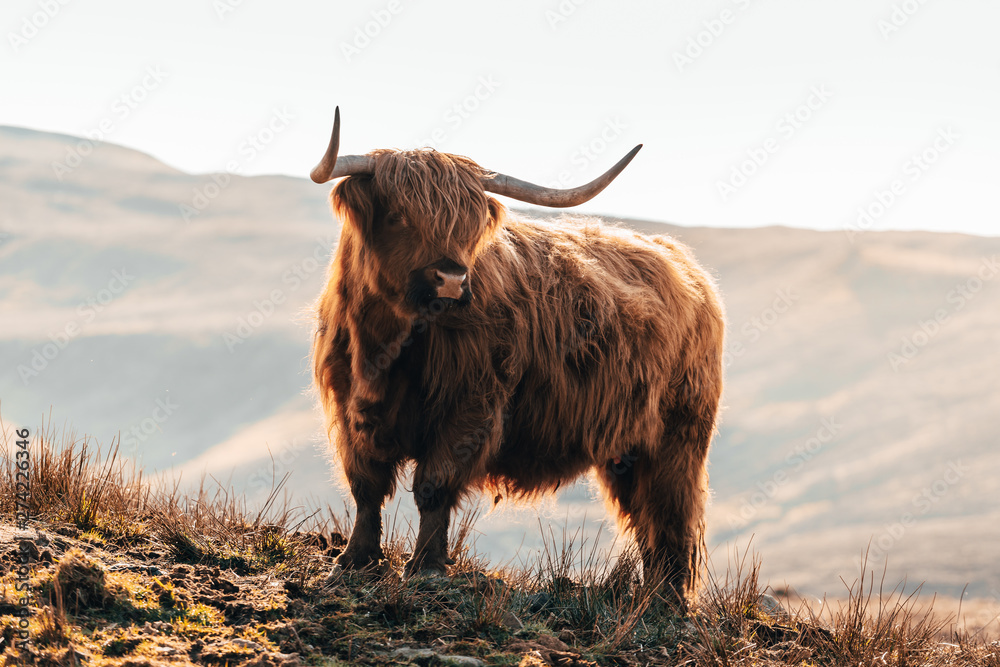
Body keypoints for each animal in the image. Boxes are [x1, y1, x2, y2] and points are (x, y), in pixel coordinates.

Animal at [310, 108, 724, 604]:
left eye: (468, 226)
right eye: (397, 216)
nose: (452, 279)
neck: (389, 346)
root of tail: (686, 266)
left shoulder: (470, 406)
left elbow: (433, 485)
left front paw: (426, 567)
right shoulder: (350, 404)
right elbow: (366, 485)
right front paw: (354, 561)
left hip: (677, 437)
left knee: (670, 511)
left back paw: (667, 600)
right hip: (627, 447)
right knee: (646, 515)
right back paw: (651, 595)